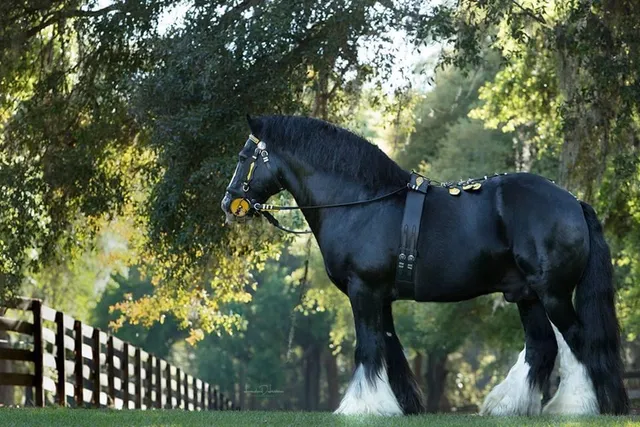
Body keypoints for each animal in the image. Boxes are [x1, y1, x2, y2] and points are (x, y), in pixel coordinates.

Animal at [220, 114, 629, 416]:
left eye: (243, 158)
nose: (229, 203)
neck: (362, 202)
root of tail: (573, 202)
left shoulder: (363, 290)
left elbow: (367, 348)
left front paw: (360, 408)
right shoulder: (380, 297)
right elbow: (389, 349)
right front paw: (399, 406)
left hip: (552, 292)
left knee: (579, 342)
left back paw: (575, 407)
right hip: (526, 294)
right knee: (542, 346)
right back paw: (508, 406)